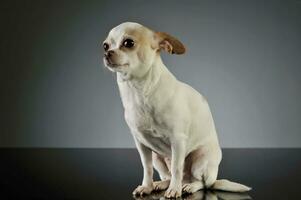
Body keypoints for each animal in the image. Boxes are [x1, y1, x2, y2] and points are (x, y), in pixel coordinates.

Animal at [102, 22, 250, 198]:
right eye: (105, 45)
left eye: (128, 43)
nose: (106, 53)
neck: (140, 91)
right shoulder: (141, 144)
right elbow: (147, 167)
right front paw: (147, 186)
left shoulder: (177, 141)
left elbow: (177, 167)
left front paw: (174, 190)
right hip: (157, 158)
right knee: (169, 175)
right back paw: (161, 184)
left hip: (200, 161)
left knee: (203, 183)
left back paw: (188, 186)